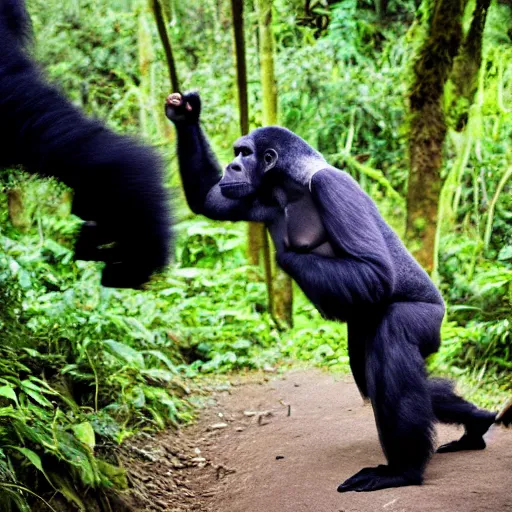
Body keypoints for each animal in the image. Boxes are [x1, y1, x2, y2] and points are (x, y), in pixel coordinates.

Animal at [167, 92, 508, 492]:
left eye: (245, 153)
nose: (231, 166)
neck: (290, 185)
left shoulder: (333, 187)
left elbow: (374, 273)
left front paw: (286, 255)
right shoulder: (256, 197)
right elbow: (208, 199)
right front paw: (185, 115)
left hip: (428, 319)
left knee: (392, 349)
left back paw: (403, 469)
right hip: (363, 329)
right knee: (374, 377)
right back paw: (474, 421)